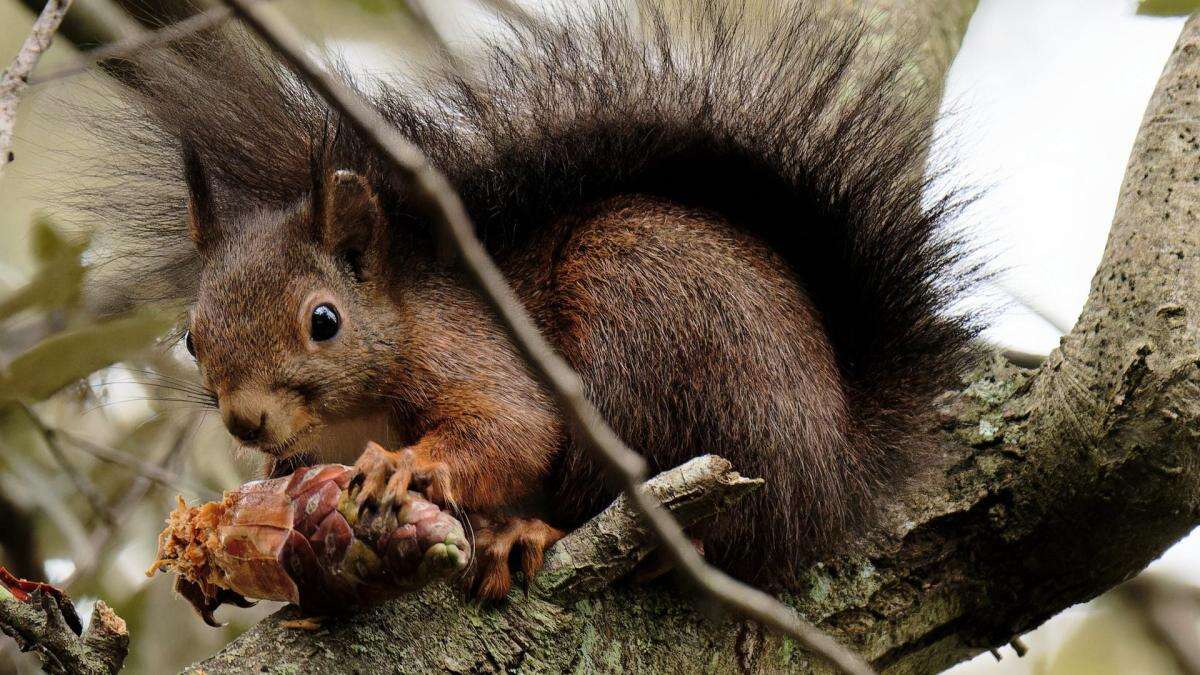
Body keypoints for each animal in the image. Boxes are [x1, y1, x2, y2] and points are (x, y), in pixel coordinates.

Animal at [72, 1, 974, 598]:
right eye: (192, 336)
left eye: (324, 320)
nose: (246, 420)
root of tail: (835, 461)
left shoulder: (471, 352)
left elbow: (513, 427)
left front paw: (408, 464)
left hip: (645, 320)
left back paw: (530, 532)